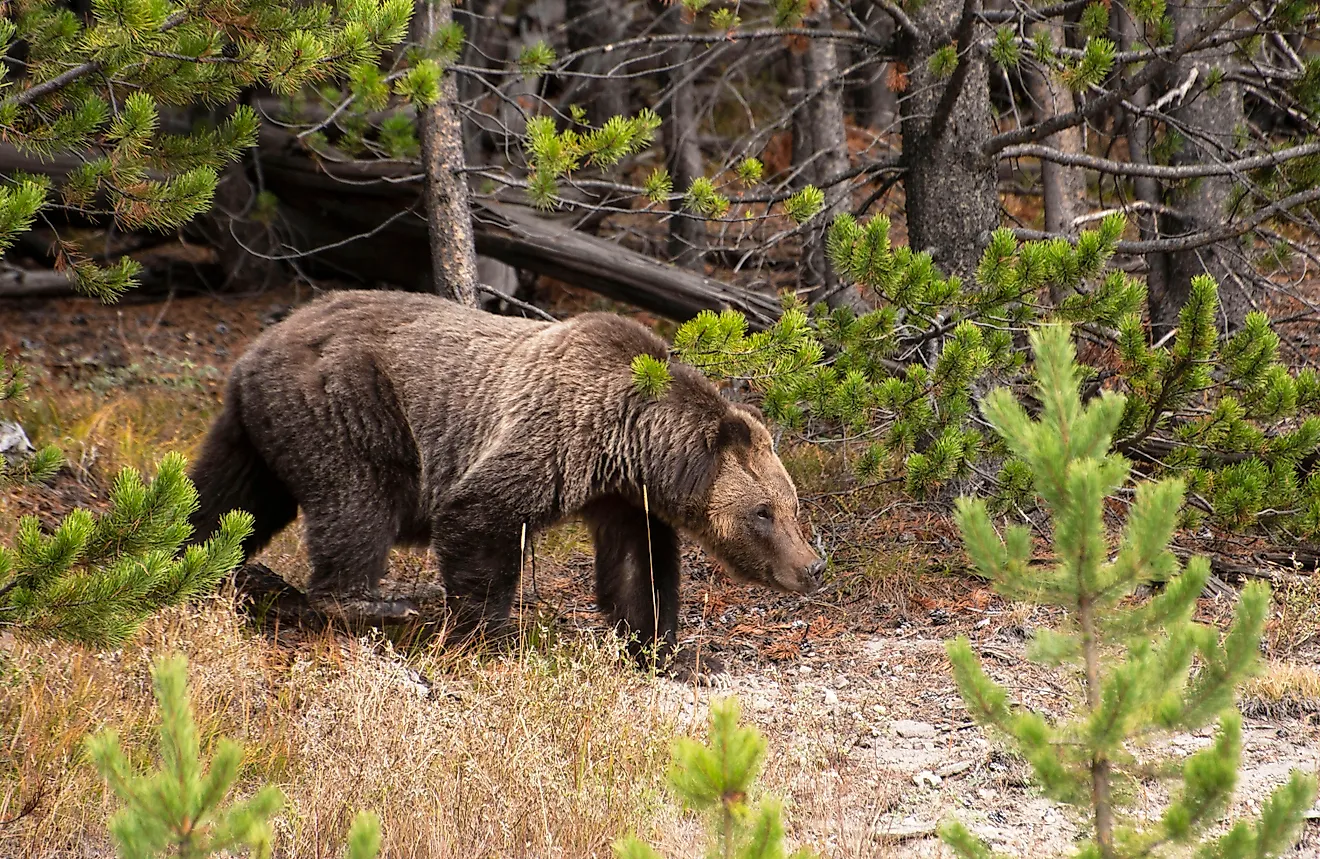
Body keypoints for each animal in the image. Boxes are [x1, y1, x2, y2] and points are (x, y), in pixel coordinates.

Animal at [187, 290, 824, 672]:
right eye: (763, 512)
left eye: (793, 506)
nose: (813, 566)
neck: (628, 439)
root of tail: (254, 352)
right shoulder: (554, 436)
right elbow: (479, 518)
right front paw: (491, 635)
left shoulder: (619, 494)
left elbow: (636, 569)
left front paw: (664, 649)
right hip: (348, 406)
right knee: (356, 504)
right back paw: (373, 603)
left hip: (259, 432)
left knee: (222, 500)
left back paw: (193, 561)